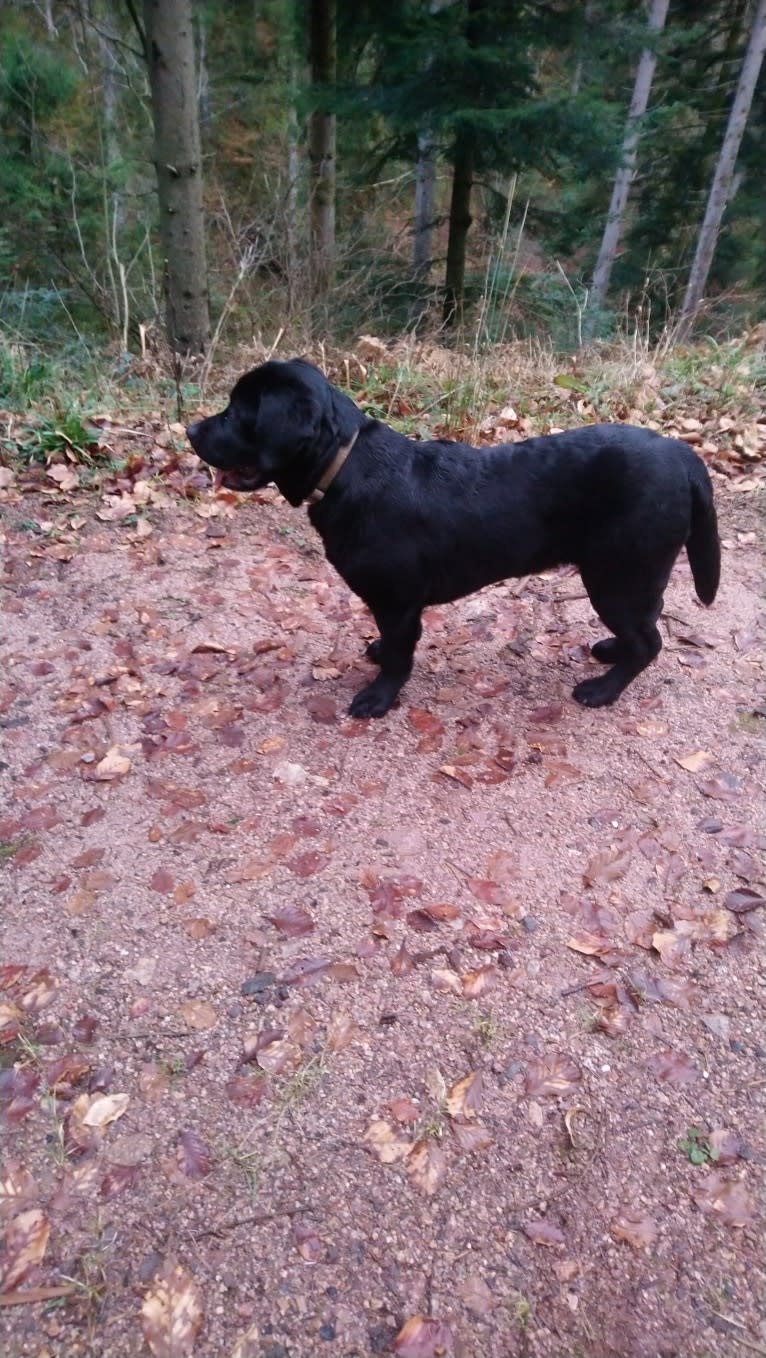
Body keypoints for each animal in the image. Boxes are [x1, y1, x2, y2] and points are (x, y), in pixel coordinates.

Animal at [186, 358, 717, 722]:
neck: (344, 465)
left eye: (235, 413)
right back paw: (610, 651)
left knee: (649, 641)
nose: (190, 429)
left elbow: (400, 654)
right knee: (645, 628)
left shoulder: (398, 601)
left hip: (618, 575)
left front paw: (379, 696)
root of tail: (682, 454)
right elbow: (391, 644)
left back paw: (602, 690)